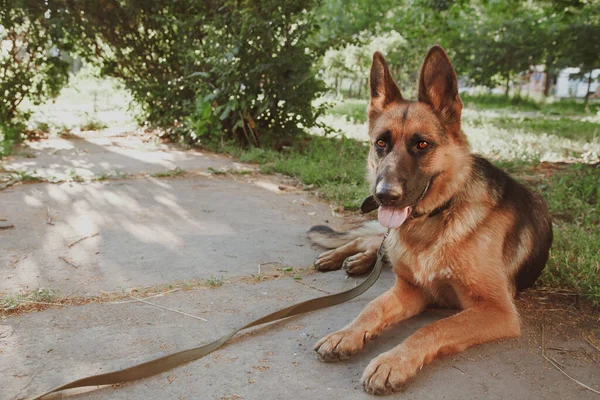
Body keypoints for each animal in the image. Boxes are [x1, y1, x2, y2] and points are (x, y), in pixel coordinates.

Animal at [310, 46, 552, 394]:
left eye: (422, 144)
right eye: (380, 143)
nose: (384, 196)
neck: (438, 218)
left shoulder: (497, 310)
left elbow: (433, 328)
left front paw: (392, 361)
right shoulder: (411, 289)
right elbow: (373, 307)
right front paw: (347, 333)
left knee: (374, 245)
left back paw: (356, 262)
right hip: (387, 238)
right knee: (366, 239)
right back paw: (340, 257)